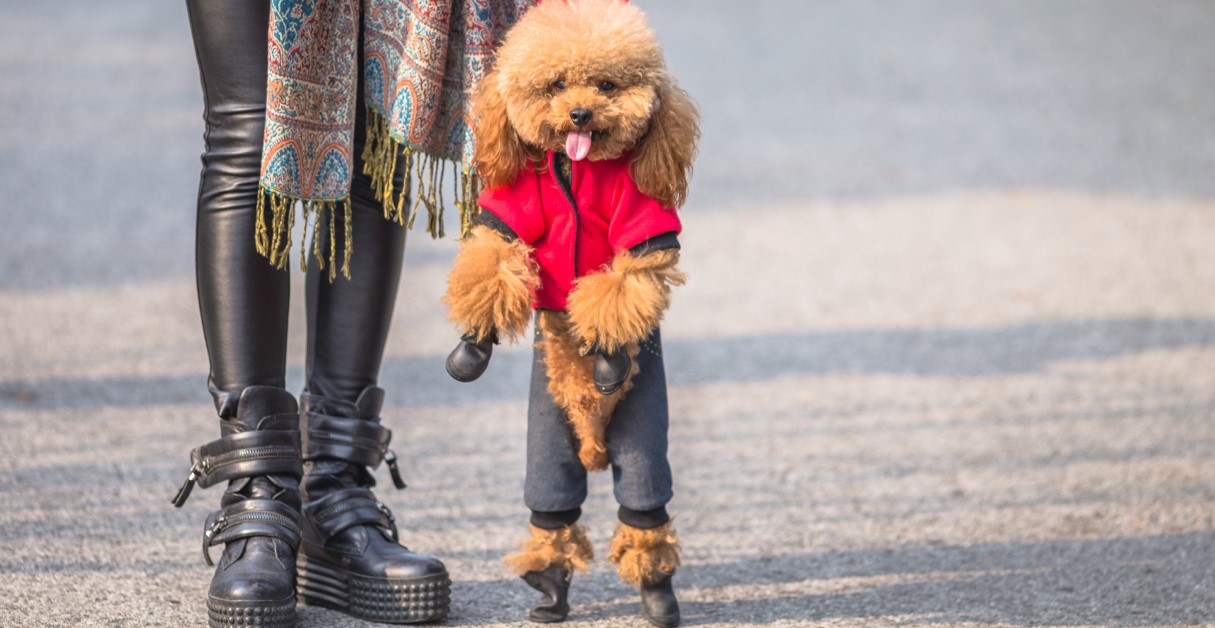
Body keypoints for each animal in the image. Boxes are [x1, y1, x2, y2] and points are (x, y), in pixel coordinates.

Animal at [442, 1, 699, 621]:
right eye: (555, 85)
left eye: (607, 84)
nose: (579, 112)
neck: (578, 169)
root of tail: (593, 446)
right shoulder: (512, 207)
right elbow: (495, 257)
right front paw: (472, 346)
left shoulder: (643, 222)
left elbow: (624, 284)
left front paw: (605, 352)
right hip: (549, 427)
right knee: (552, 500)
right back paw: (550, 587)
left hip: (641, 430)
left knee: (643, 503)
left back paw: (657, 592)